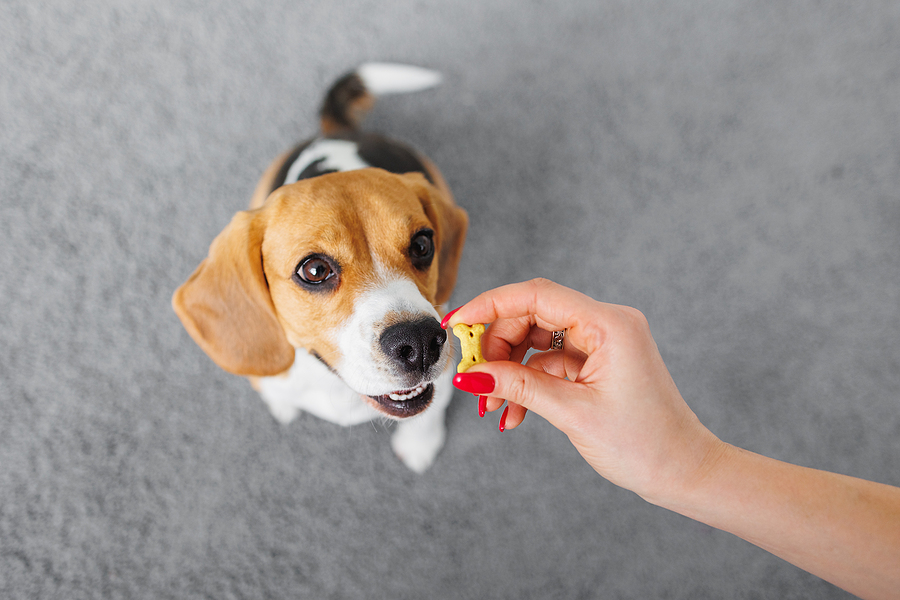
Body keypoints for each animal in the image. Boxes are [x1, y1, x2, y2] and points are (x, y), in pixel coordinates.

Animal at [176, 63, 472, 472]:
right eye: (314, 270)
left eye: (422, 245)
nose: (421, 342)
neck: (340, 387)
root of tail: (338, 132)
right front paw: (281, 407)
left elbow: (428, 415)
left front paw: (419, 445)